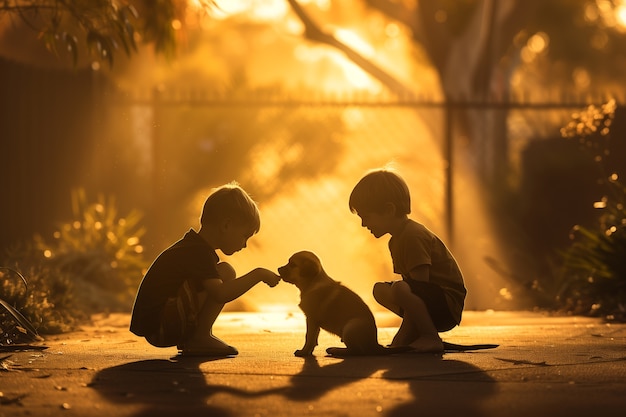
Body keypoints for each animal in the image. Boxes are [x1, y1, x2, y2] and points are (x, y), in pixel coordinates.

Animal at [280, 249, 410, 356]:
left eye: (292, 265)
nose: (278, 269)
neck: (312, 283)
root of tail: (375, 345)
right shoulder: (313, 321)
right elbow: (313, 339)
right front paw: (308, 351)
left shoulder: (312, 319)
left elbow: (309, 337)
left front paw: (303, 352)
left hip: (350, 327)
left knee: (357, 352)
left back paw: (337, 350)